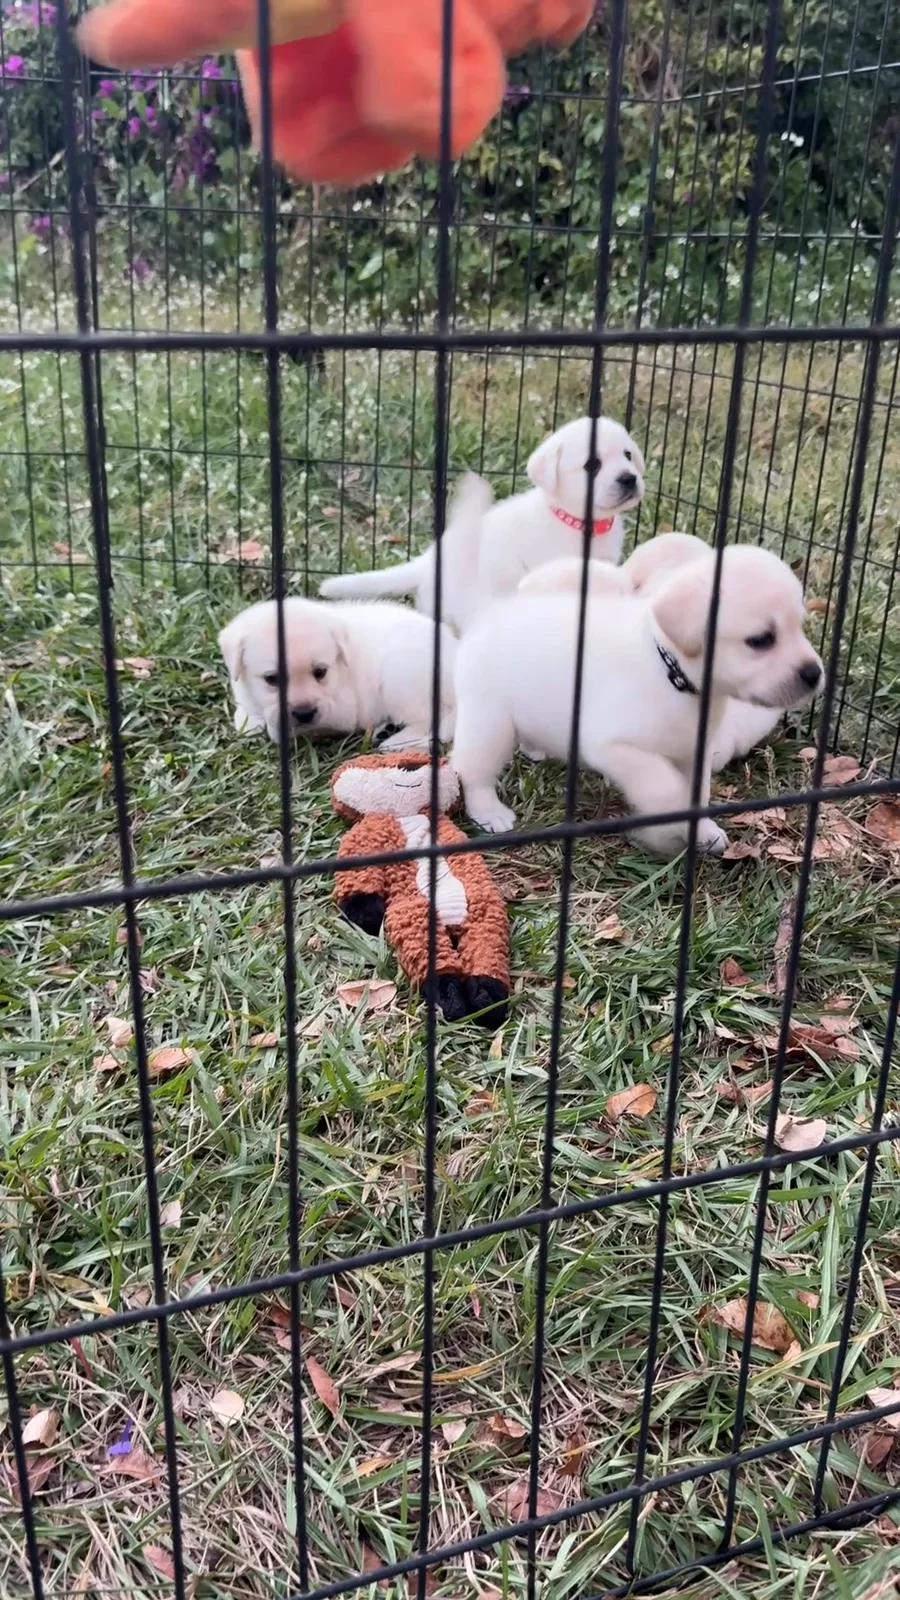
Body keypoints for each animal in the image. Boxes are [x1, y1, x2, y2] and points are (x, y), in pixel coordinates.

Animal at [218, 596, 457, 750]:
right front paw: (251, 722)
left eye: (320, 672)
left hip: (399, 675)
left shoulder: (341, 712)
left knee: (427, 720)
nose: (304, 713)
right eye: (272, 679)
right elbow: (246, 716)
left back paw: (396, 742)